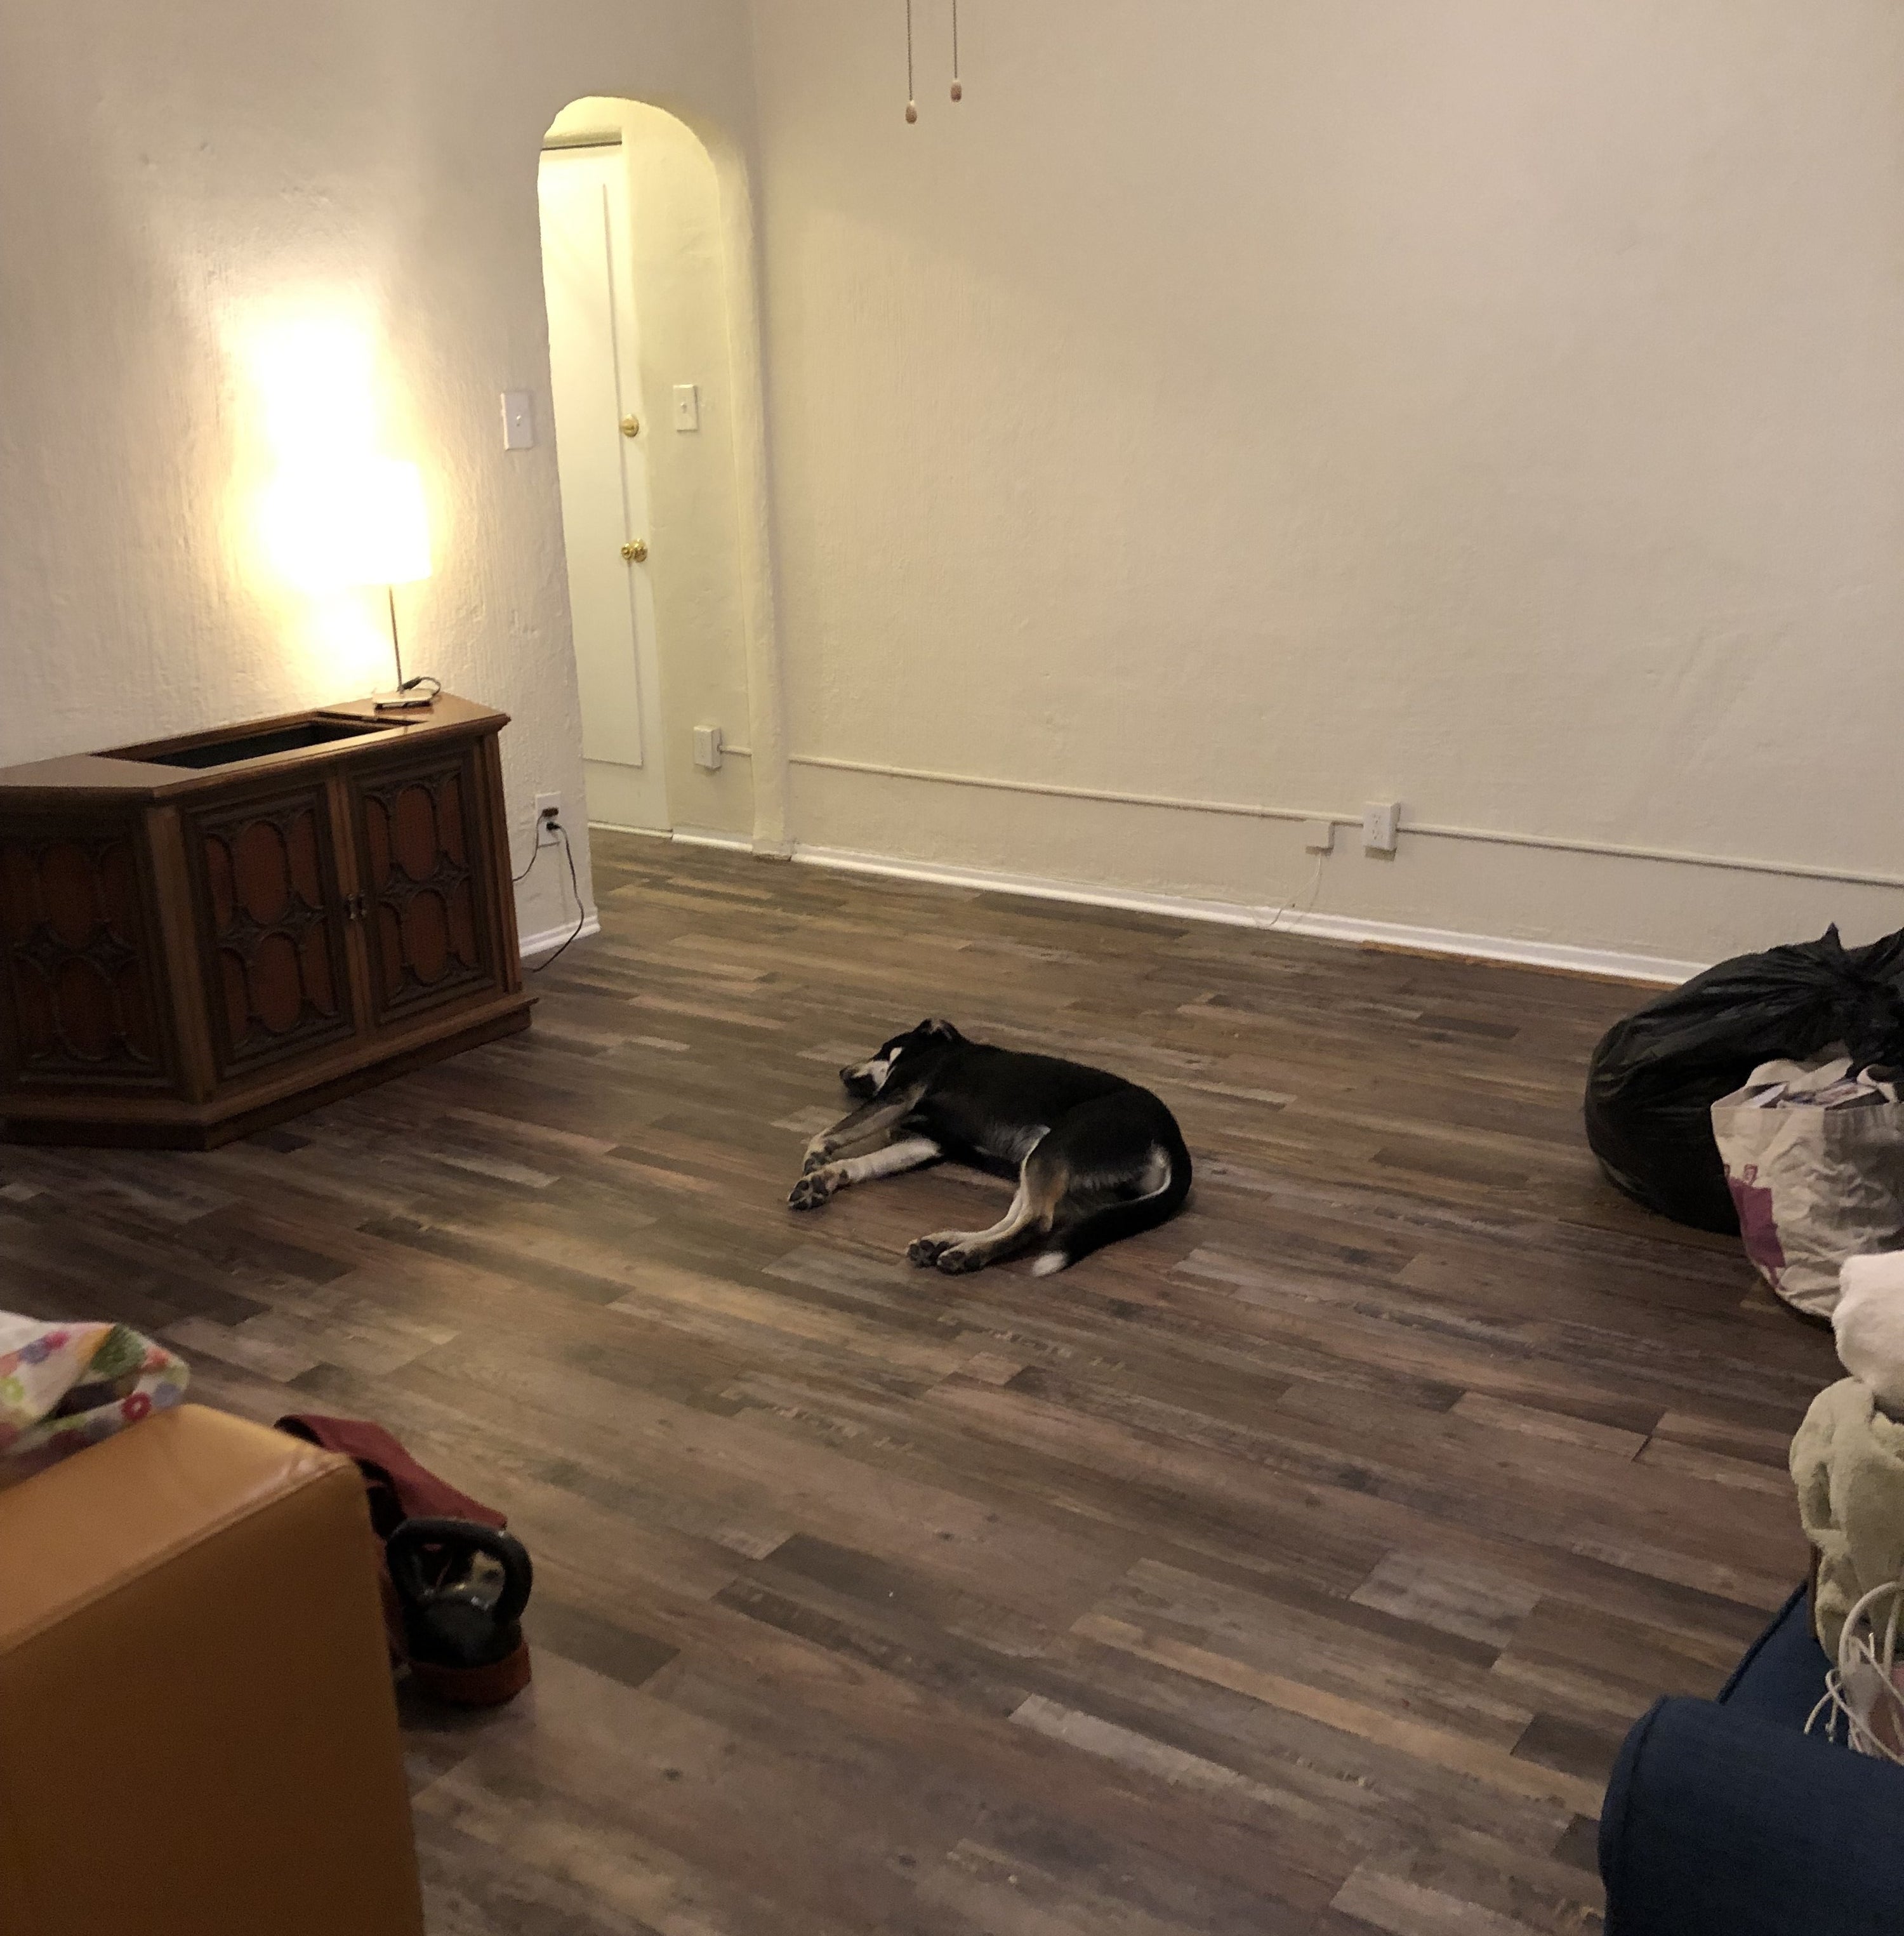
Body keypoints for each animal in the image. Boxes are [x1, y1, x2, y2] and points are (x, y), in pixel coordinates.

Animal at [781, 1022, 1184, 1278]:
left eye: (881, 1050)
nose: (841, 1072)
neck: (940, 1049)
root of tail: (1171, 1138)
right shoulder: (926, 1143)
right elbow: (867, 1161)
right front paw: (824, 1180)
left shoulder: (899, 1095)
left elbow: (830, 1132)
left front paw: (815, 1160)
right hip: (1043, 1162)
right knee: (1018, 1218)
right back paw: (947, 1244)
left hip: (1055, 1146)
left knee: (1036, 1222)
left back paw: (970, 1255)